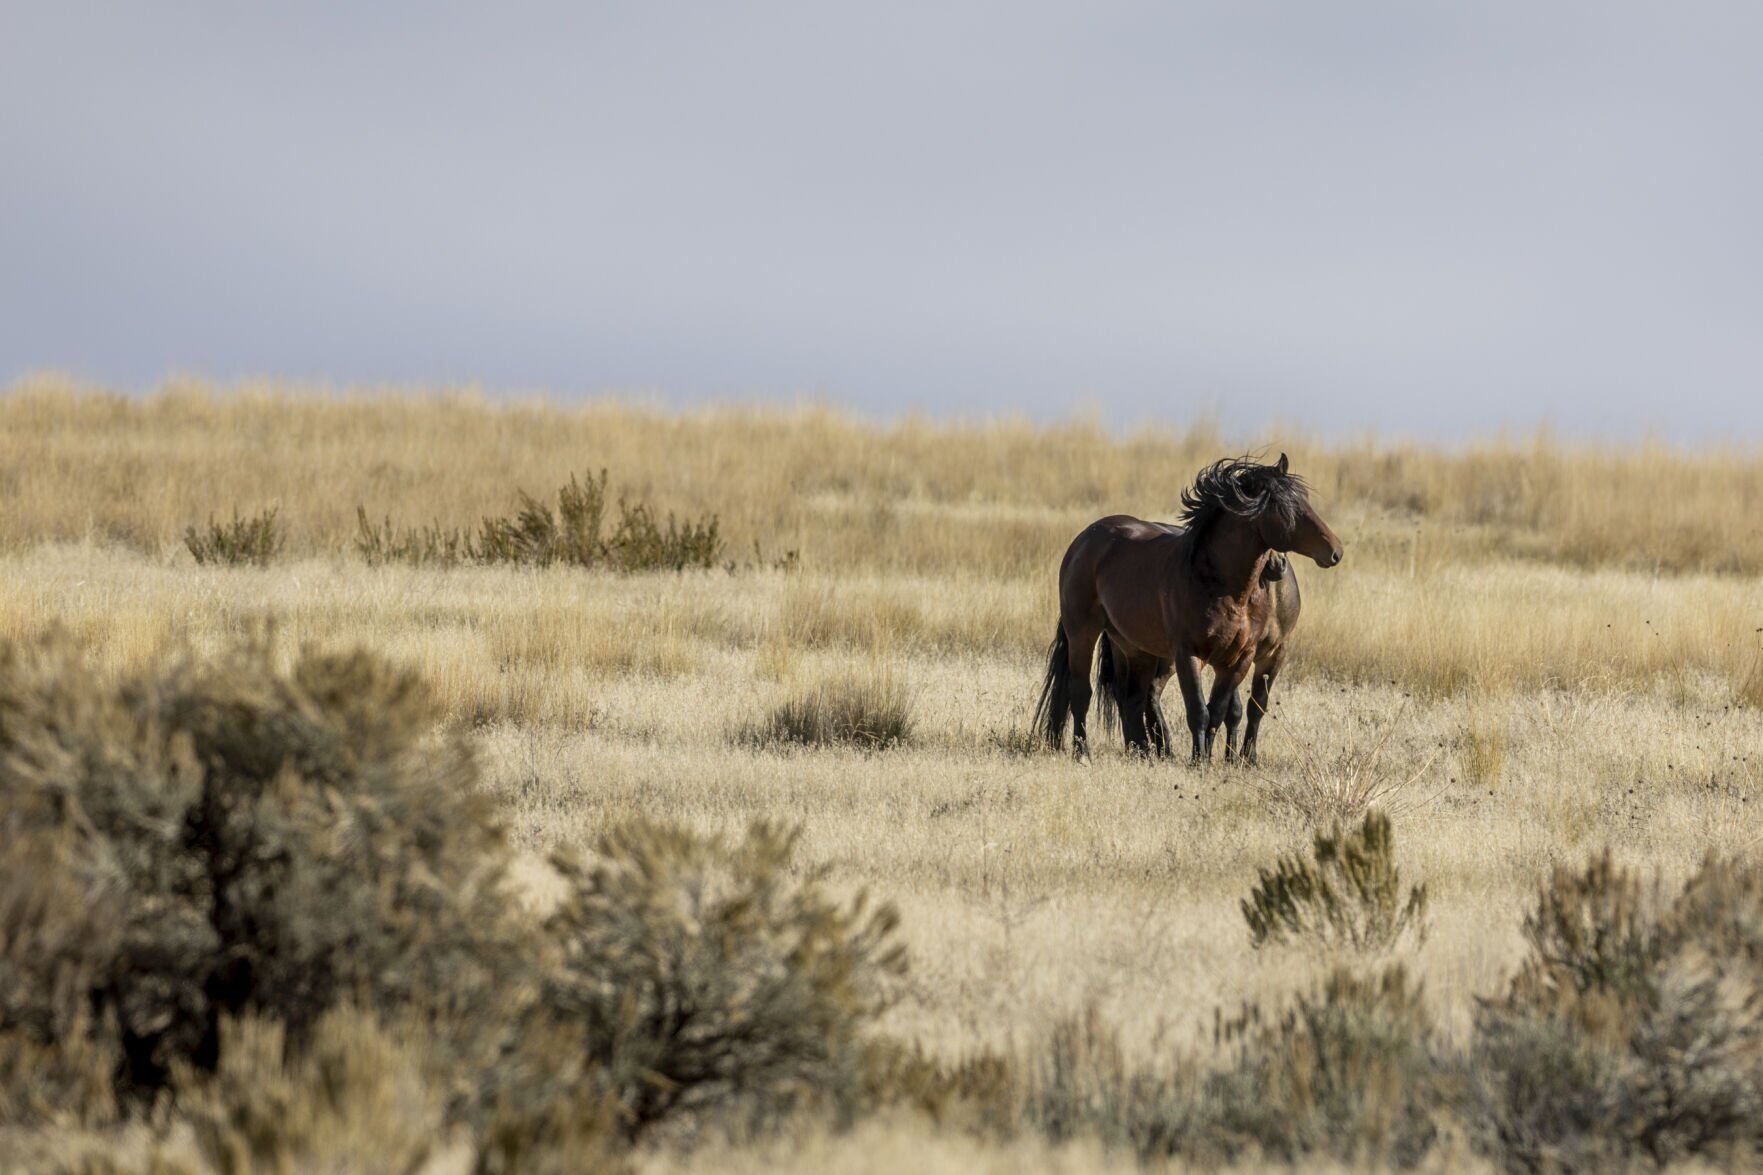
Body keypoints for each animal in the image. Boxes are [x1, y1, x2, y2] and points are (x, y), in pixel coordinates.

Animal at [1033, 454, 1341, 763]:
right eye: (1286, 508)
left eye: (1305, 502)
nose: (1335, 551)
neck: (1223, 587)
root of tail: (1084, 539)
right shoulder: (1188, 654)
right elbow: (1198, 711)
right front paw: (1199, 760)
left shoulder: (1240, 658)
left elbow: (1220, 710)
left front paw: (1211, 758)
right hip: (1083, 633)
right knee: (1081, 692)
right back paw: (1083, 752)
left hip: (1132, 645)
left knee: (1132, 697)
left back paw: (1143, 751)